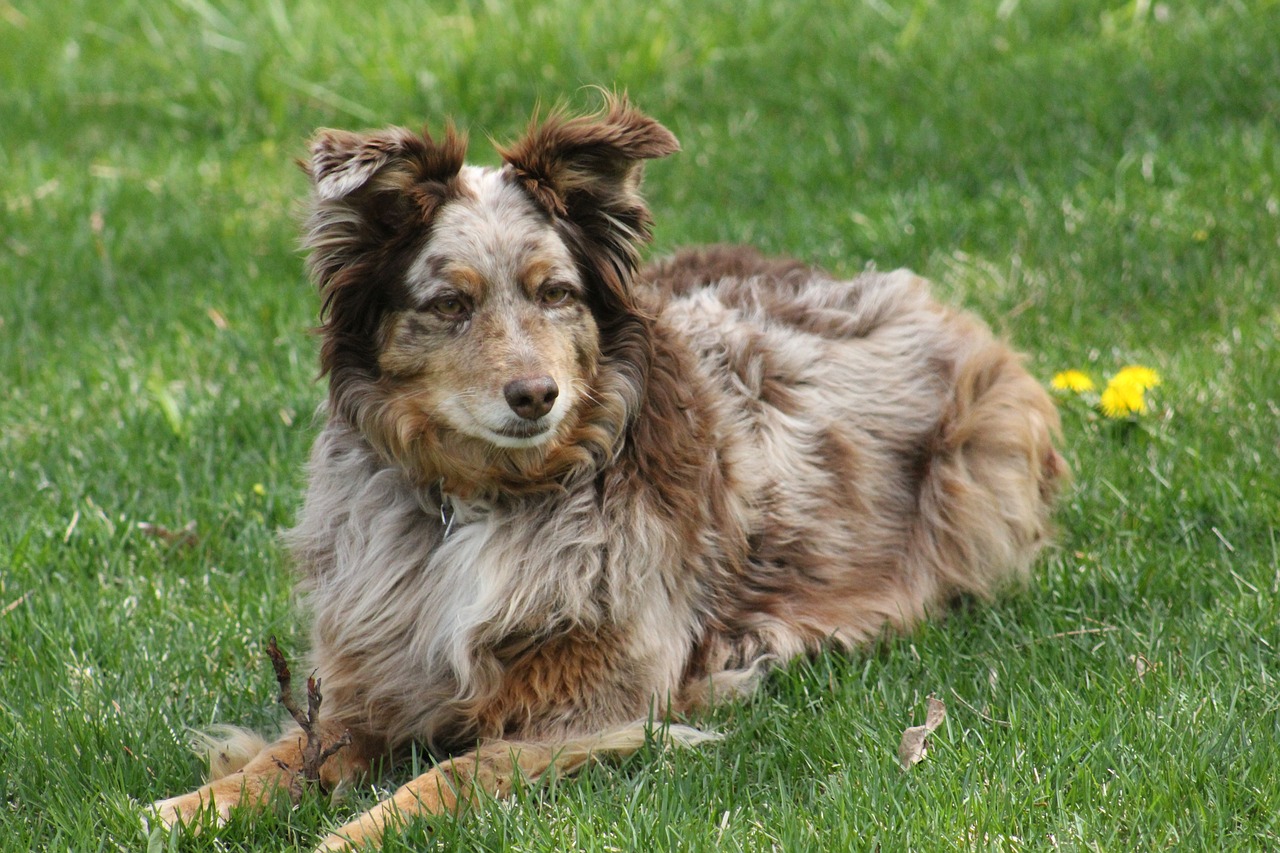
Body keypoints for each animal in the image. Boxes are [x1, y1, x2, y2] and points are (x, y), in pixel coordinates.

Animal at [149, 96, 1064, 845]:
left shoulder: (596, 708)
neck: (486, 499)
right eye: (449, 305)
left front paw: (353, 831)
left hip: (982, 464)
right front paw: (193, 807)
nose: (535, 395)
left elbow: (451, 774)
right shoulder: (373, 676)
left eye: (556, 293)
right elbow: (287, 754)